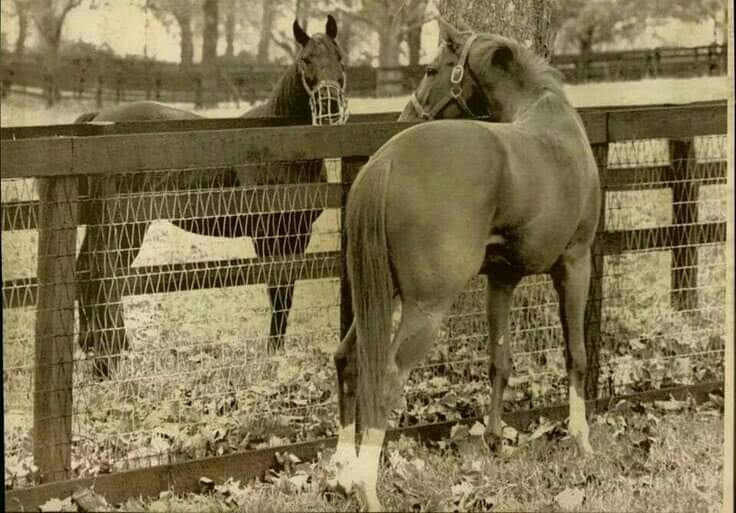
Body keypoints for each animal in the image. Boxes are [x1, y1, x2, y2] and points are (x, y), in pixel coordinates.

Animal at [75, 16, 348, 376]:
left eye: (340, 56)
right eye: (306, 60)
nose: (330, 105)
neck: (277, 146)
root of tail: (99, 118)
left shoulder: (298, 233)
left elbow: (286, 293)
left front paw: (278, 350)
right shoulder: (268, 235)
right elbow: (277, 292)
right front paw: (272, 354)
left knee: (86, 270)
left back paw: (93, 345)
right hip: (125, 225)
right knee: (104, 274)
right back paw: (109, 355)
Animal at [330, 19, 600, 508]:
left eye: (432, 69)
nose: (406, 115)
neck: (548, 120)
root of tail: (388, 161)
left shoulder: (502, 278)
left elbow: (500, 360)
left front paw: (495, 440)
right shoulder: (575, 263)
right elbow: (577, 354)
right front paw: (581, 440)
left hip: (377, 296)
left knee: (348, 359)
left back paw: (343, 472)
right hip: (426, 307)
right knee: (387, 377)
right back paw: (367, 487)